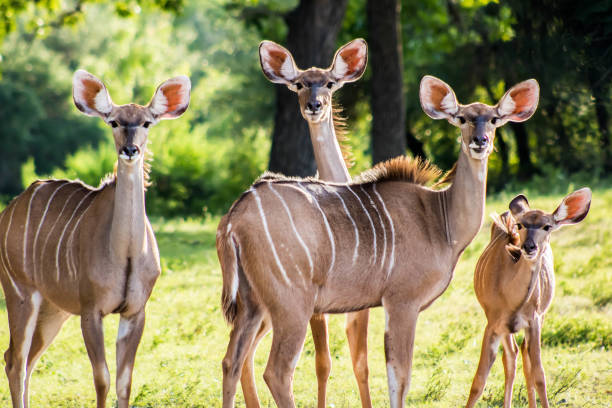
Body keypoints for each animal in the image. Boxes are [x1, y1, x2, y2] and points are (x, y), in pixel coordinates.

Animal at [0, 70, 190, 408]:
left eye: (146, 122)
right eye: (113, 122)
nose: (130, 150)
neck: (126, 253)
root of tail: (9, 210)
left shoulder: (135, 312)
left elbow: (125, 382)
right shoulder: (92, 311)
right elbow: (102, 379)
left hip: (54, 309)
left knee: (27, 359)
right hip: (20, 294)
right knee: (16, 360)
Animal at [219, 75, 540, 406]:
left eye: (494, 119)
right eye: (462, 118)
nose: (480, 141)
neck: (441, 219)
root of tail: (234, 218)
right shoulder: (402, 302)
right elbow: (400, 377)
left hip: (253, 305)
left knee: (232, 361)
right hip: (291, 306)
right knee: (276, 371)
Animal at [256, 38, 370, 408]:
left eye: (330, 83)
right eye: (299, 84)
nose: (314, 105)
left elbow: (360, 362)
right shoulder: (317, 308)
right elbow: (323, 363)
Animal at [466, 190, 592, 408]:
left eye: (547, 226)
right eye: (520, 225)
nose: (529, 246)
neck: (511, 300)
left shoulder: (533, 320)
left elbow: (540, 375)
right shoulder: (493, 322)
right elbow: (479, 381)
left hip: (540, 317)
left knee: (524, 356)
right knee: (512, 355)